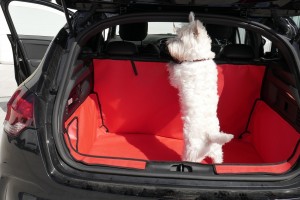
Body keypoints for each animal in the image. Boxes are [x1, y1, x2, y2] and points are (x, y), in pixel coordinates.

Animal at [168, 11, 233, 163]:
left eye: (180, 39)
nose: (167, 43)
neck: (199, 59)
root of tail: (209, 136)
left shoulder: (177, 76)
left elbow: (173, 73)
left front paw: (170, 63)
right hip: (217, 150)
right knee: (219, 158)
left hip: (191, 151)